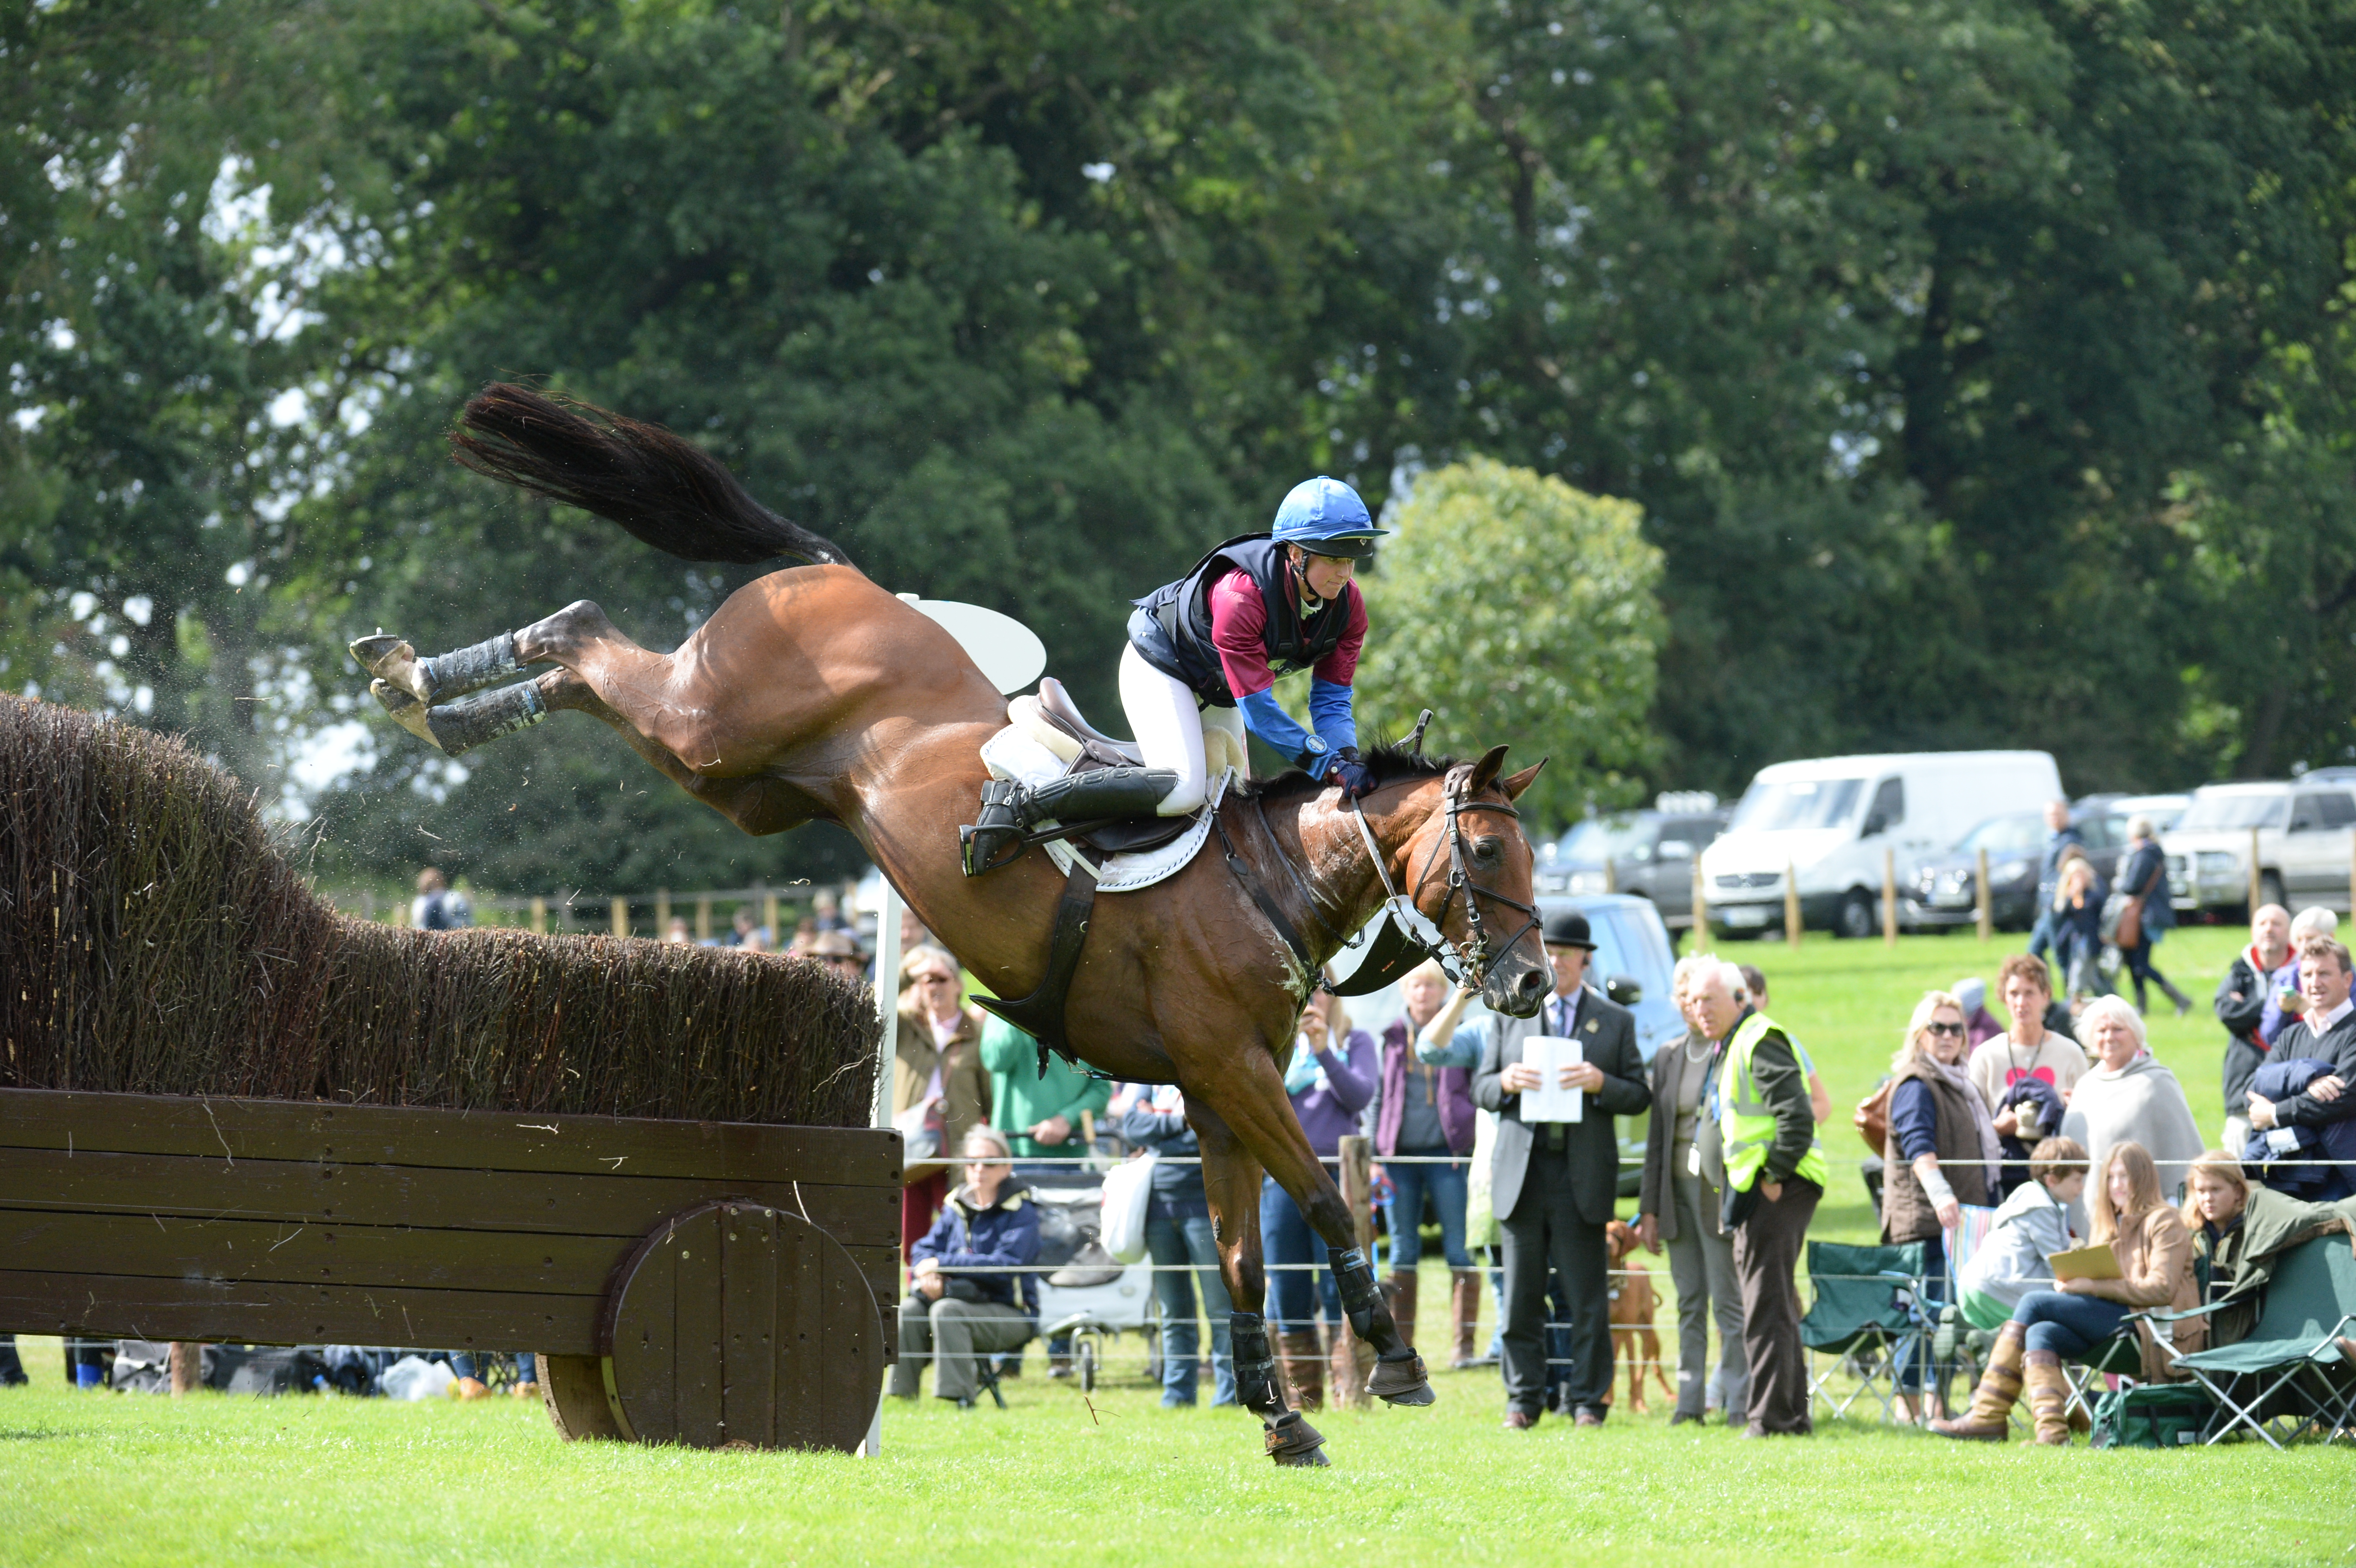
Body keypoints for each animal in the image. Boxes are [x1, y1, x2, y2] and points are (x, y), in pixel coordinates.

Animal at [355, 384, 1550, 1465]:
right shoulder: (1234, 1072)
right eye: (1490, 853)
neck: (1269, 878)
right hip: (712, 722)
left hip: (739, 783)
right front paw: (1394, 1364)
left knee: (580, 676)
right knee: (582, 631)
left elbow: (1242, 1259)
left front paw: (1281, 1418)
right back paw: (413, 674)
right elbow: (1326, 1208)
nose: (1536, 984)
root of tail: (839, 573)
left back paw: (430, 703)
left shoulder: (1216, 1096)